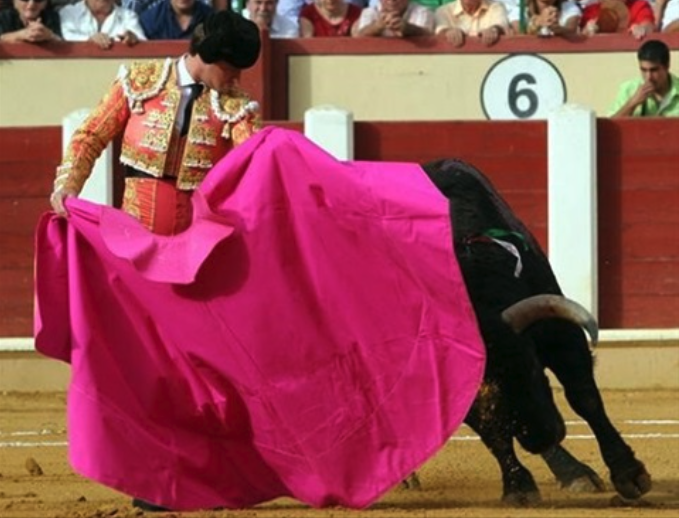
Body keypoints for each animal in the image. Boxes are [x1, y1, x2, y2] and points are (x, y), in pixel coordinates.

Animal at [409, 158, 651, 505]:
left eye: (535, 368)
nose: (542, 437)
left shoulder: (560, 335)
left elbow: (585, 398)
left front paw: (628, 473)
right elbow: (492, 430)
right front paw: (518, 486)